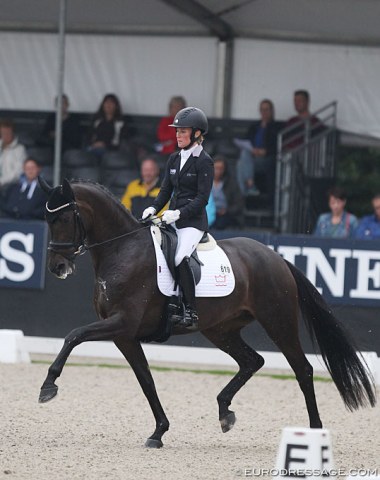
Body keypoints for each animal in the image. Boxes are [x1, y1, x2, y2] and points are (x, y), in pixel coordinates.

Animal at [37, 178, 376, 448]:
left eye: (64, 217)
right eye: (46, 219)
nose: (58, 267)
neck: (123, 250)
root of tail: (275, 258)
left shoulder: (121, 323)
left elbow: (74, 335)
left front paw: (48, 386)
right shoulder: (125, 335)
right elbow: (146, 381)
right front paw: (159, 432)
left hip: (278, 321)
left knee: (302, 370)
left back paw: (315, 432)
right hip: (220, 329)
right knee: (252, 361)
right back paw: (225, 411)